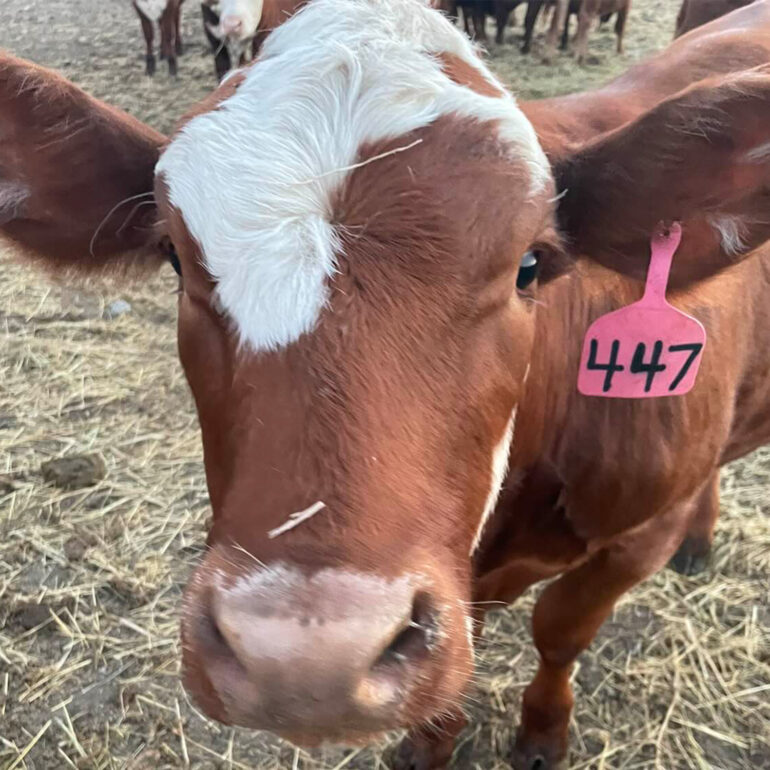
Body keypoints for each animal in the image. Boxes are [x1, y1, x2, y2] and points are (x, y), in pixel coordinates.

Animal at [1, 1, 768, 768]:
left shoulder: (641, 533)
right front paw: (430, 743)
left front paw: (544, 731)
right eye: (175, 258)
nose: (307, 661)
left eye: (531, 264)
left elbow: (561, 630)